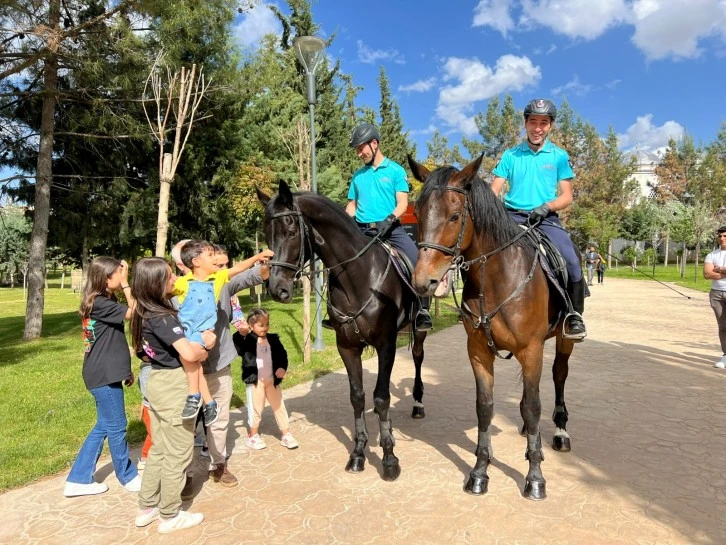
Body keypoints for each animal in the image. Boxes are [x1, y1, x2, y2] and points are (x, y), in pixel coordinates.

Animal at [258, 182, 430, 480]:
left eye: (291, 232)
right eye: (267, 235)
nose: (277, 289)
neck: (358, 275)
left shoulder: (386, 343)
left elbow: (382, 398)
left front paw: (389, 459)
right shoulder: (347, 347)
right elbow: (358, 398)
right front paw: (359, 453)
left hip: (418, 331)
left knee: (418, 358)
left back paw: (418, 405)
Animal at [410, 155, 576, 500]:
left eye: (455, 215)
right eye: (417, 213)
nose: (423, 281)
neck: (498, 279)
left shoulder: (531, 350)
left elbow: (532, 406)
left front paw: (535, 478)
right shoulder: (478, 352)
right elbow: (485, 407)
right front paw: (479, 472)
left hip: (565, 340)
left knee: (559, 376)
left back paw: (561, 432)